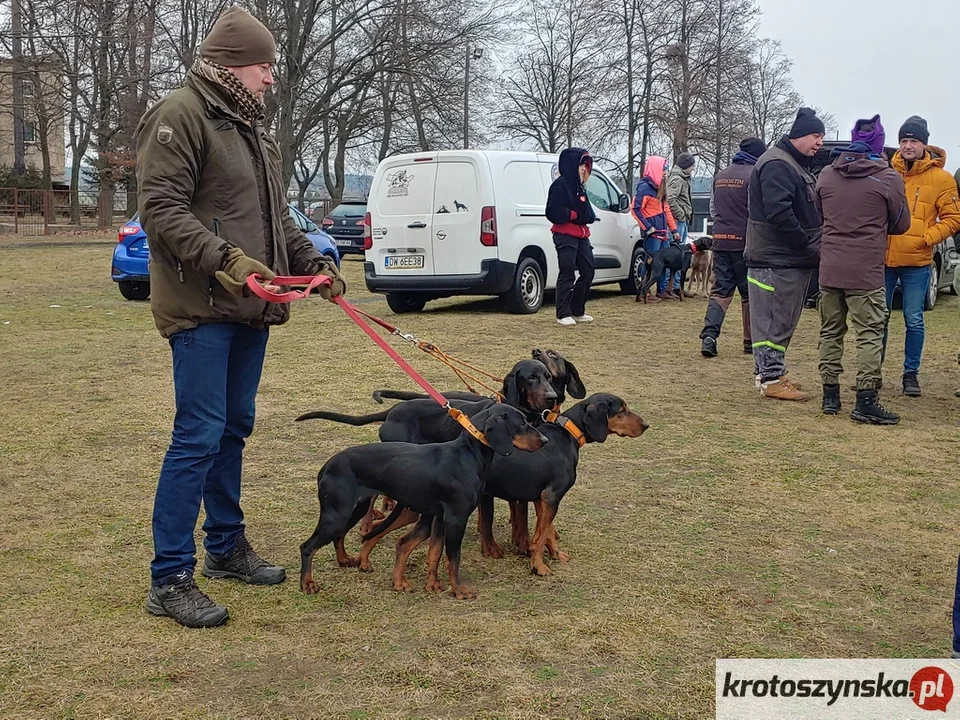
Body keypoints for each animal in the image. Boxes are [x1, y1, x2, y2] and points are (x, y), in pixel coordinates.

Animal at [298, 404, 548, 596]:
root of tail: (326, 467)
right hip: (337, 514)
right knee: (307, 547)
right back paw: (308, 584)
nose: (545, 440)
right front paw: (459, 591)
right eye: (522, 423)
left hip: (352, 510)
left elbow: (434, 553)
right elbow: (453, 559)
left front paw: (433, 586)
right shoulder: (456, 518)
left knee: (339, 535)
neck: (466, 455)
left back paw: (345, 560)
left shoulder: (438, 518)